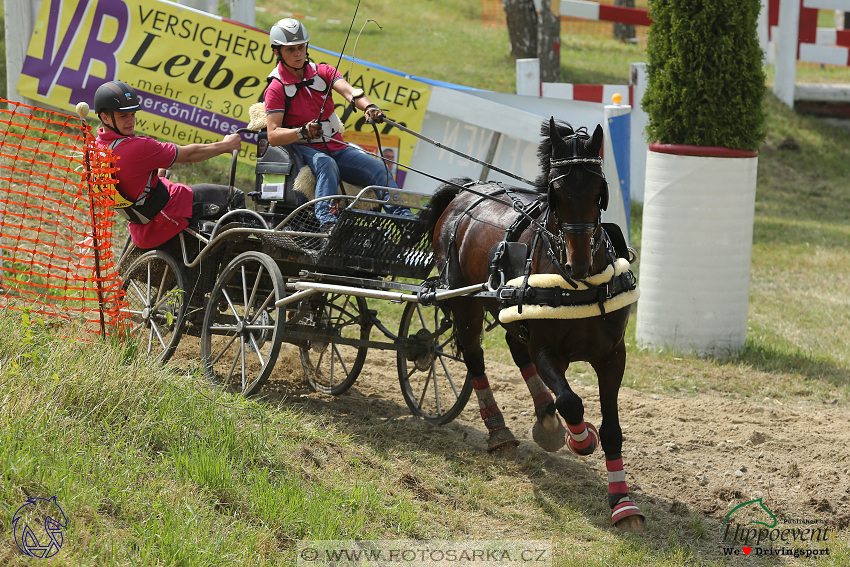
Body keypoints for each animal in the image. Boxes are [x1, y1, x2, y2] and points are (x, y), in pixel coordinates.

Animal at [420, 117, 644, 532]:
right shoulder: (546, 349)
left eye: (600, 191)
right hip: (463, 300)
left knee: (514, 347)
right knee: (475, 356)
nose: (578, 263)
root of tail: (467, 191)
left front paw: (622, 503)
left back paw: (545, 418)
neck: (577, 285)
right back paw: (500, 431)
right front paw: (579, 439)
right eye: (555, 193)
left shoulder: (612, 355)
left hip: (507, 307)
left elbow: (612, 429)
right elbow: (571, 402)